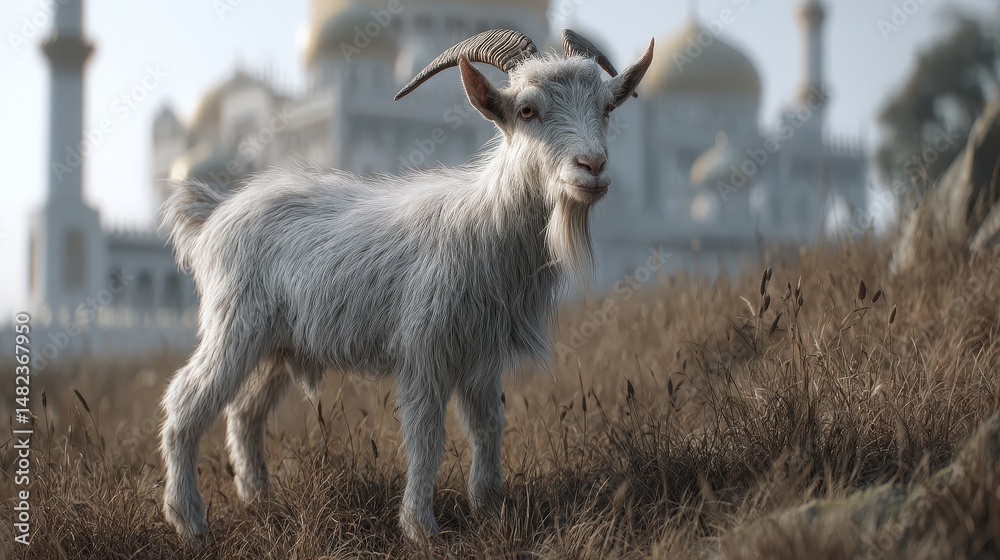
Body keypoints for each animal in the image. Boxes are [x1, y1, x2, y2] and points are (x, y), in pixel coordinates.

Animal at [159, 28, 654, 541]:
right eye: (527, 111)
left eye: (606, 108)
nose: (592, 166)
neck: (485, 222)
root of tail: (213, 213)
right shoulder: (424, 350)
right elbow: (426, 437)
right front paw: (421, 528)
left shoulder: (481, 354)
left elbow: (488, 425)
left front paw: (490, 507)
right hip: (233, 326)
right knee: (185, 401)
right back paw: (188, 520)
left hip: (276, 345)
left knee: (244, 412)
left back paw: (259, 501)